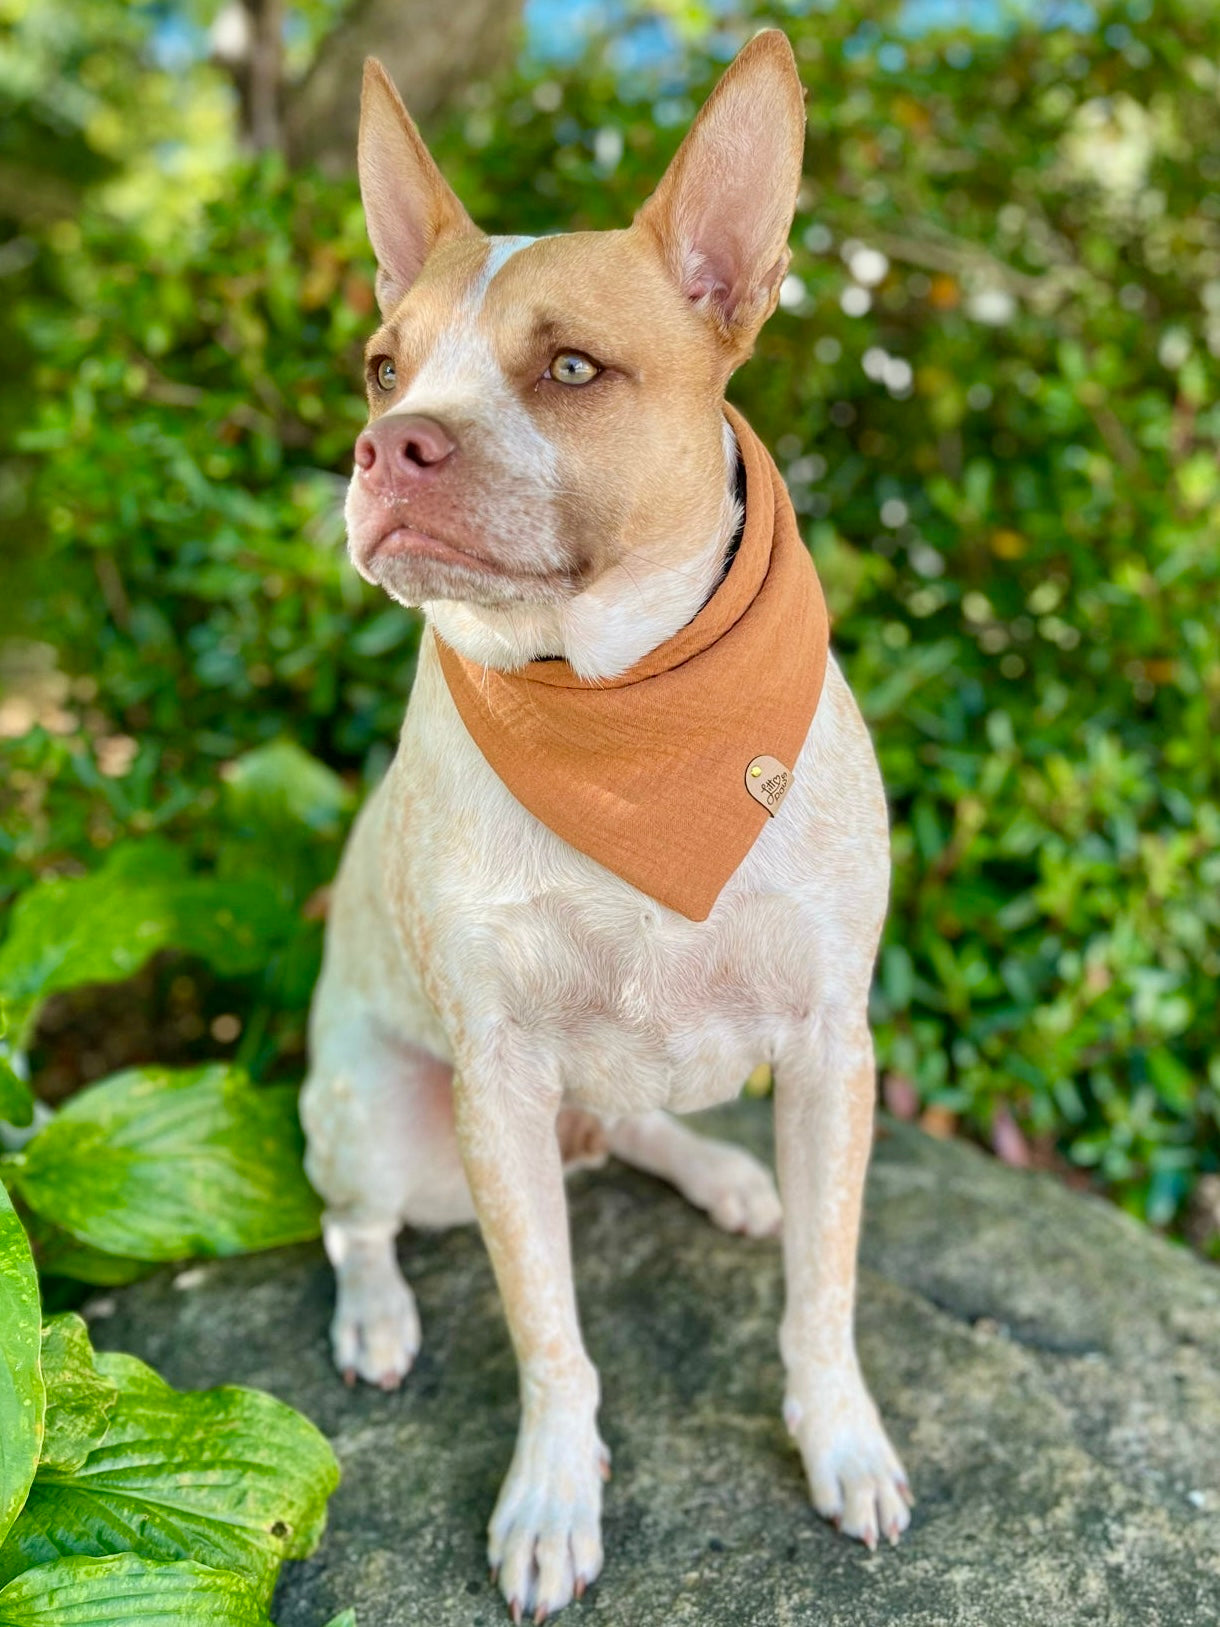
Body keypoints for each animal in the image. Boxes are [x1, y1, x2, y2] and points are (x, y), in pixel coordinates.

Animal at [304, 31, 917, 1620]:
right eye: (384, 365)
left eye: (570, 367)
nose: (385, 445)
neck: (624, 707)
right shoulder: (501, 1081)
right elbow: (548, 1332)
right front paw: (550, 1493)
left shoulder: (831, 1043)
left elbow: (825, 1294)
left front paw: (838, 1436)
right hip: (372, 1118)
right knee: (353, 1219)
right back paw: (376, 1314)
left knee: (643, 1127)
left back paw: (722, 1175)